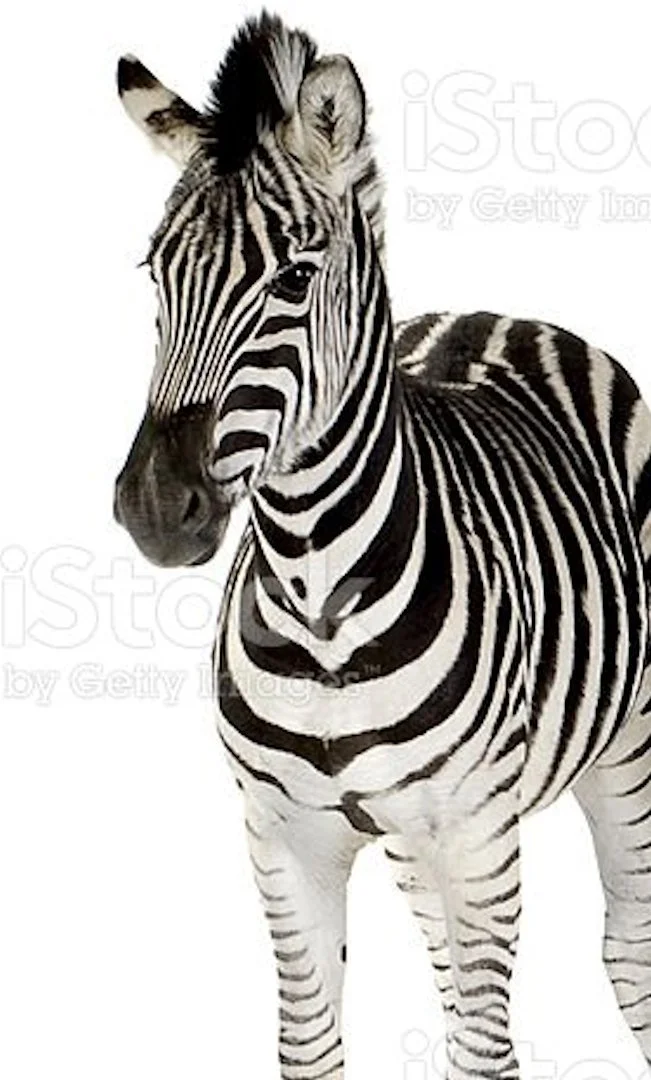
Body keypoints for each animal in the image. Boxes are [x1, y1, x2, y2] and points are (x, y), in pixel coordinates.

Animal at [113, 12, 651, 1080]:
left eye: (293, 278)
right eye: (155, 274)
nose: (155, 506)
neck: (320, 602)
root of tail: (506, 312)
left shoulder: (475, 833)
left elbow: (481, 1051)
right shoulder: (283, 837)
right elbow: (311, 1045)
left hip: (629, 745)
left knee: (630, 948)